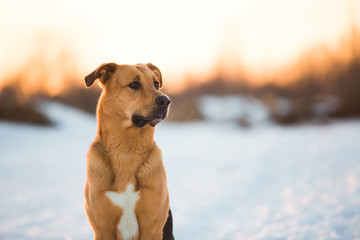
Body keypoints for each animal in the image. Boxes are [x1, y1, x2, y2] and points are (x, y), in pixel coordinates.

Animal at [84, 62, 174, 239]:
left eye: (156, 84)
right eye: (134, 84)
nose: (166, 100)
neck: (126, 151)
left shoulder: (152, 226)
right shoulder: (103, 228)